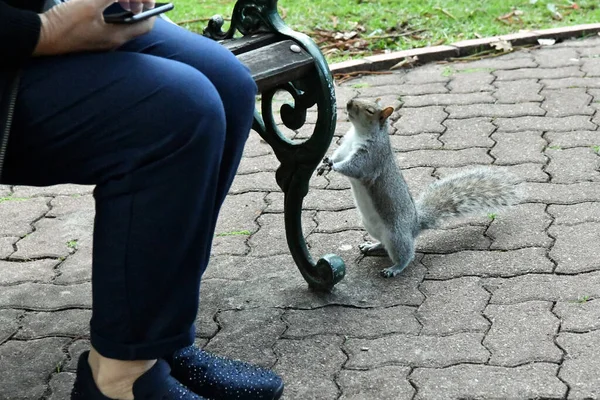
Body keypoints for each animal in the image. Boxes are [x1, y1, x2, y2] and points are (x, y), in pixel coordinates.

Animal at [318, 98, 520, 276]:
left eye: (369, 110)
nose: (349, 103)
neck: (358, 133)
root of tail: (414, 227)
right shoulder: (346, 146)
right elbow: (338, 155)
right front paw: (325, 163)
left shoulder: (372, 157)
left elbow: (354, 168)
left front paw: (334, 166)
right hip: (371, 227)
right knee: (383, 244)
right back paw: (372, 245)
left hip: (396, 236)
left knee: (406, 255)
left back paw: (395, 268)